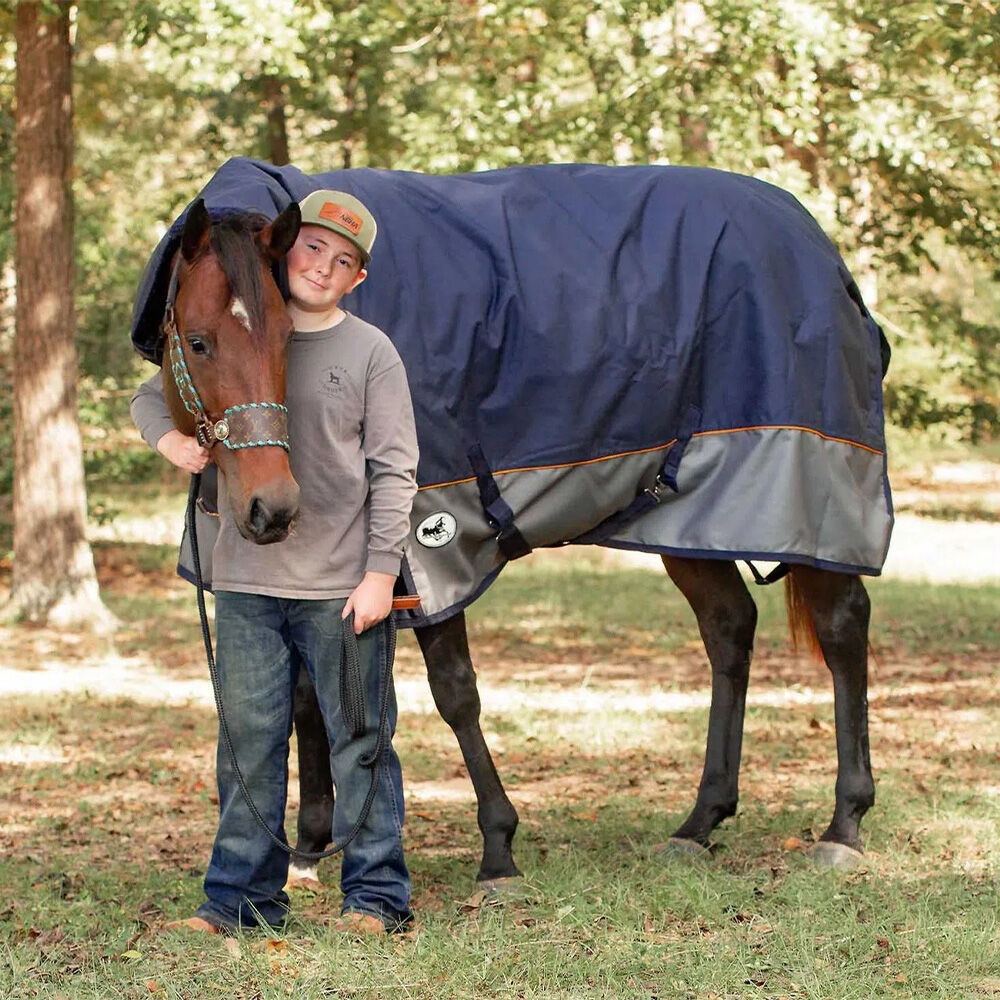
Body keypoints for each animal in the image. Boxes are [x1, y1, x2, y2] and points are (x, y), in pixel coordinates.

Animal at [154, 167, 887, 896]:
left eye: (284, 338)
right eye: (199, 340)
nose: (272, 509)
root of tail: (822, 254)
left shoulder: (426, 545)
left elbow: (454, 693)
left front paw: (497, 849)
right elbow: (310, 693)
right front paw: (308, 846)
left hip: (813, 501)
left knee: (842, 626)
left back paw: (843, 825)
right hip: (690, 525)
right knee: (729, 629)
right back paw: (700, 821)